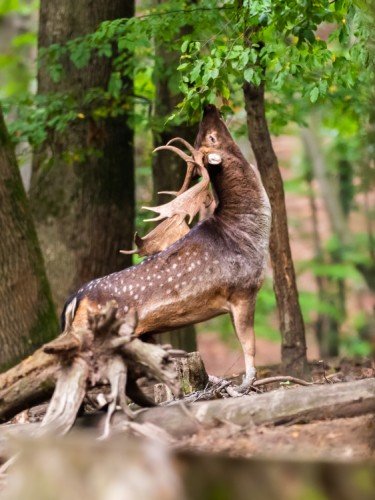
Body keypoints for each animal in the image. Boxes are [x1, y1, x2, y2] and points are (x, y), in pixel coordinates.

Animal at [62, 103, 274, 388]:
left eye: (203, 137)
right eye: (211, 138)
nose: (208, 106)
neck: (250, 234)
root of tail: (74, 300)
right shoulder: (243, 290)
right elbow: (248, 345)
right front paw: (247, 383)